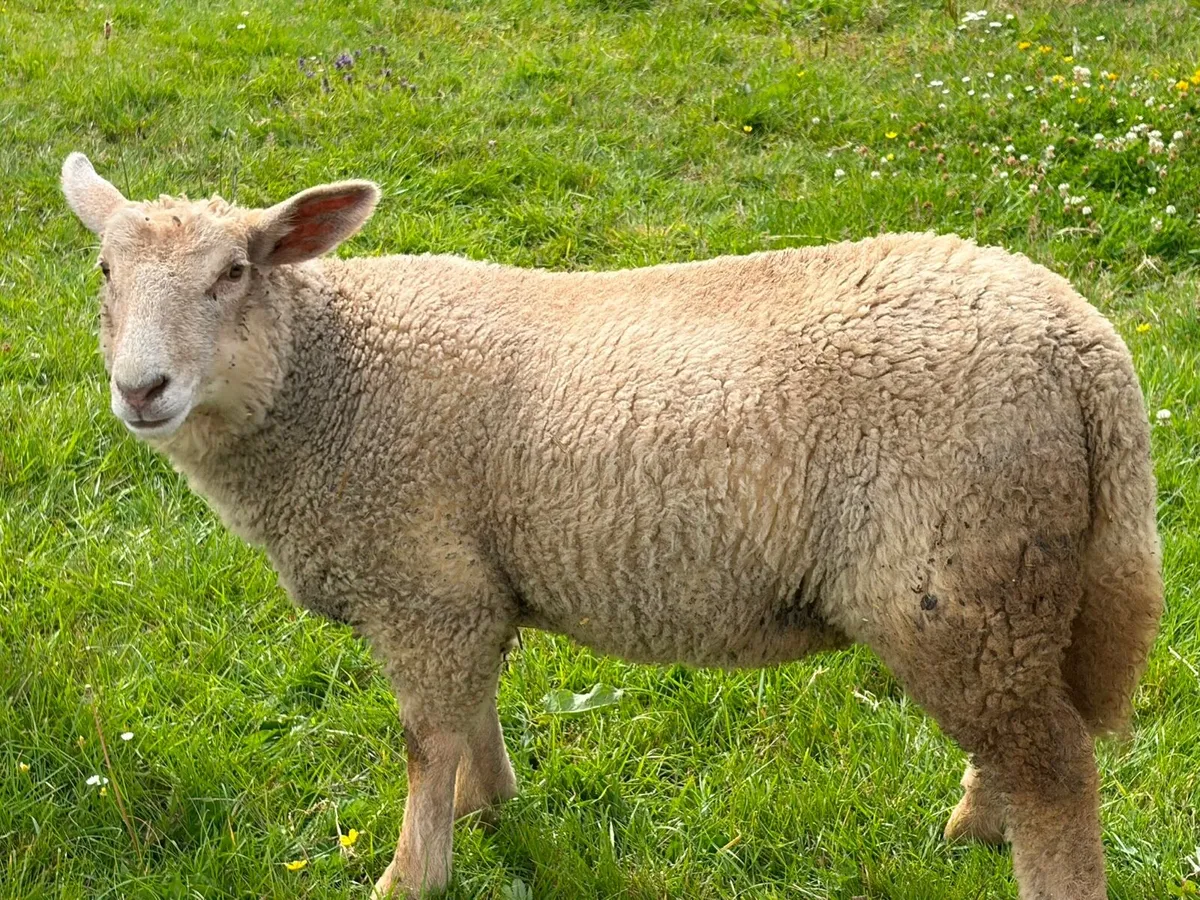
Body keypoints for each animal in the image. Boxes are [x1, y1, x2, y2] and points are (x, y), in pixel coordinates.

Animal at [61, 151, 1163, 900]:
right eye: (105, 274)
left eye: (235, 273)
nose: (141, 389)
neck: (329, 383)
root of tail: (1084, 345)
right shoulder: (468, 589)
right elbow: (471, 719)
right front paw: (489, 809)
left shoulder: (420, 586)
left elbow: (425, 738)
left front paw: (411, 873)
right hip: (996, 591)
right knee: (1022, 740)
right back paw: (975, 827)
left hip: (955, 575)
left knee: (1056, 770)